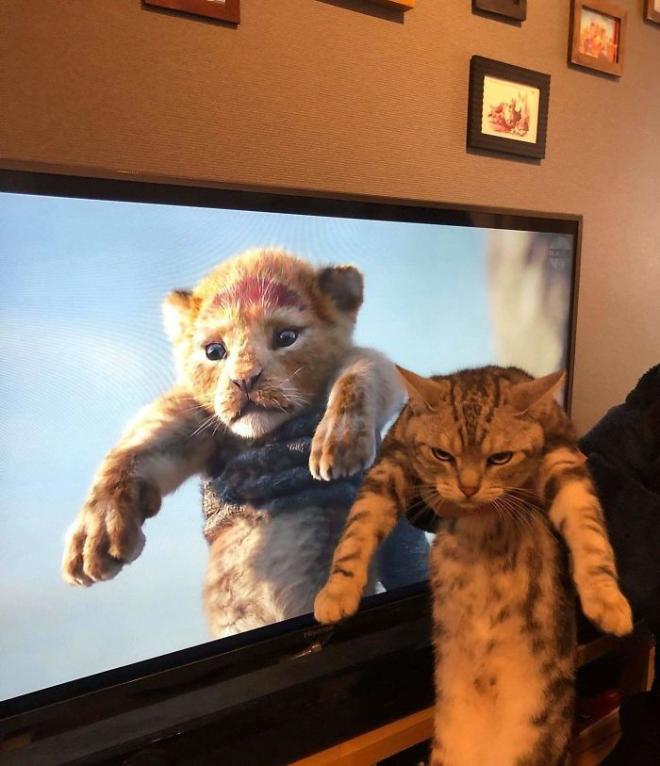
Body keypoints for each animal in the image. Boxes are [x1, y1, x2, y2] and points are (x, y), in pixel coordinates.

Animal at [61, 248, 405, 637]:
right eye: (214, 351)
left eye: (286, 337)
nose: (245, 380)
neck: (262, 436)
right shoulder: (194, 420)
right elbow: (134, 450)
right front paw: (95, 538)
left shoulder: (367, 366)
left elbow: (362, 373)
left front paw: (339, 442)